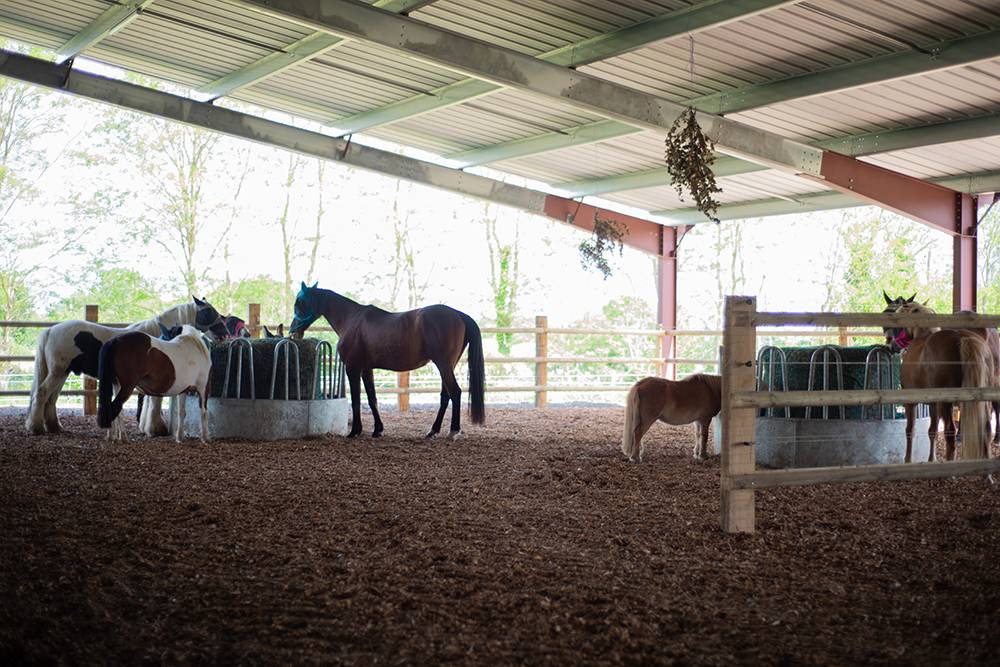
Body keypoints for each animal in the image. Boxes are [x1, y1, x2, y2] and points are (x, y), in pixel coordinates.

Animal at [25, 297, 228, 436]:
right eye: (209, 311)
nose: (225, 332)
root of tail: (50, 330)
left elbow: (148, 403)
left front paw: (147, 427)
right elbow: (155, 403)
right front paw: (155, 429)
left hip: (62, 373)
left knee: (51, 399)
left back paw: (54, 427)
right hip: (58, 372)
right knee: (42, 394)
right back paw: (36, 428)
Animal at [288, 282, 485, 439]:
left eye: (300, 301)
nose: (293, 331)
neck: (351, 320)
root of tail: (459, 315)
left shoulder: (353, 368)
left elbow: (356, 399)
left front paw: (355, 431)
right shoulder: (366, 369)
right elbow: (372, 398)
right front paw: (378, 430)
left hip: (443, 364)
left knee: (455, 392)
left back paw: (453, 431)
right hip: (448, 365)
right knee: (446, 395)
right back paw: (433, 431)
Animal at [882, 299, 994, 462]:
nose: (892, 346)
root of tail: (962, 338)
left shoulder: (911, 402)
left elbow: (910, 430)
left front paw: (908, 459)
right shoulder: (933, 403)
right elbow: (932, 431)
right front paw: (931, 459)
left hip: (946, 404)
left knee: (950, 432)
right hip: (980, 401)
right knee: (985, 430)